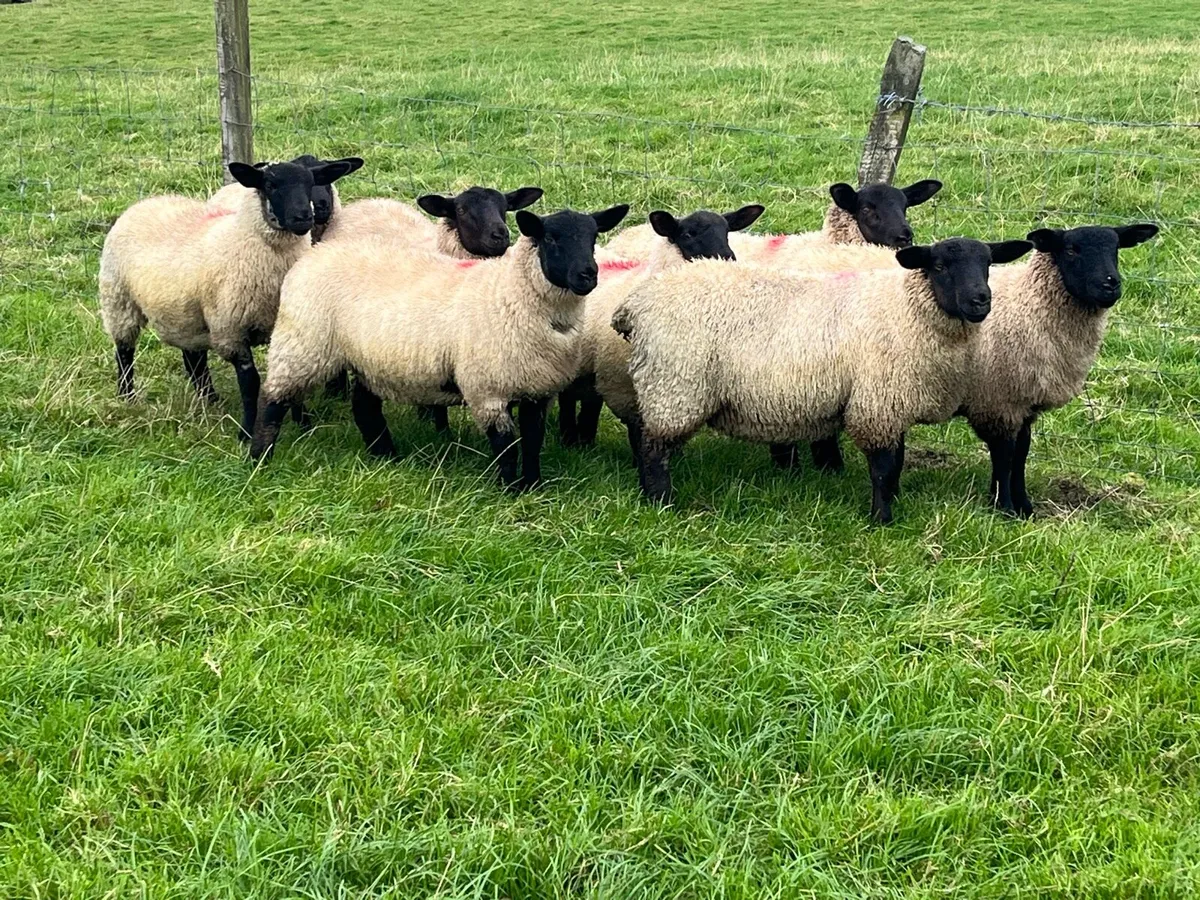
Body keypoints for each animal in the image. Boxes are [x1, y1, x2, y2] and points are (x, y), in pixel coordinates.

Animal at [99, 158, 359, 439]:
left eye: (311, 183)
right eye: (270, 185)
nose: (304, 217)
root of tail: (149, 201)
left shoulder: (287, 329)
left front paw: (304, 425)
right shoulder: (231, 330)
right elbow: (250, 383)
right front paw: (246, 432)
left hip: (185, 313)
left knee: (194, 359)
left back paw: (210, 399)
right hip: (118, 300)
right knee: (124, 351)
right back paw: (127, 396)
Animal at [250, 204, 630, 490]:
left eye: (593, 237)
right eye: (551, 237)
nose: (588, 274)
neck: (511, 294)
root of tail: (314, 254)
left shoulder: (537, 389)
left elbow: (533, 441)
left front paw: (533, 485)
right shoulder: (487, 389)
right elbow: (506, 445)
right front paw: (511, 489)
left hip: (366, 358)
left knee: (364, 407)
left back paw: (385, 455)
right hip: (303, 342)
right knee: (272, 398)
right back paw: (259, 457)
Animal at [559, 204, 765, 453]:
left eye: (726, 232)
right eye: (687, 234)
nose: (726, 257)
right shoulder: (628, 387)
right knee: (568, 400)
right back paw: (569, 440)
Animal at [614, 236, 1033, 523]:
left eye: (989, 263)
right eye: (940, 266)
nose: (981, 300)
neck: (906, 310)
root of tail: (635, 304)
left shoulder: (890, 403)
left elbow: (895, 463)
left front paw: (893, 503)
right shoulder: (877, 402)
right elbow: (883, 467)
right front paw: (882, 519)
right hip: (674, 387)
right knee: (653, 450)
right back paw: (661, 503)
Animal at [959, 223, 1159, 517]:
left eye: (1116, 247)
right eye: (1071, 249)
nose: (1110, 284)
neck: (1027, 305)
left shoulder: (1025, 404)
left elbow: (1021, 454)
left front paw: (1024, 506)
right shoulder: (999, 403)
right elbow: (1005, 457)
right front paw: (1004, 507)